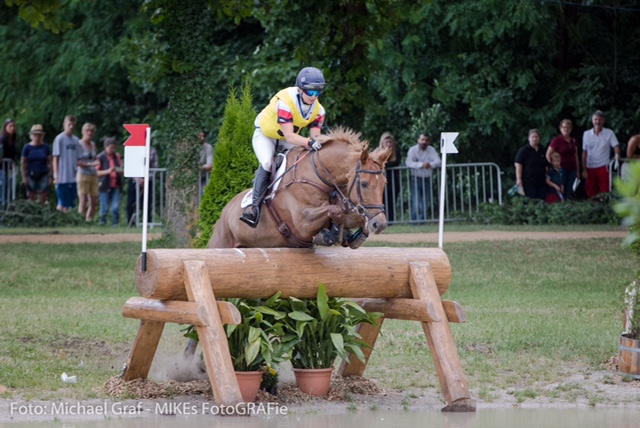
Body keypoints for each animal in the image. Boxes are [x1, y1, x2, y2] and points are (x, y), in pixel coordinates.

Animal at [208, 125, 392, 249]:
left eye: (384, 184)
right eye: (364, 184)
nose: (380, 225)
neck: (320, 176)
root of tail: (224, 212)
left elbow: (355, 217)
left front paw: (349, 234)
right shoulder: (302, 223)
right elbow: (335, 210)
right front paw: (329, 235)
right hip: (221, 244)